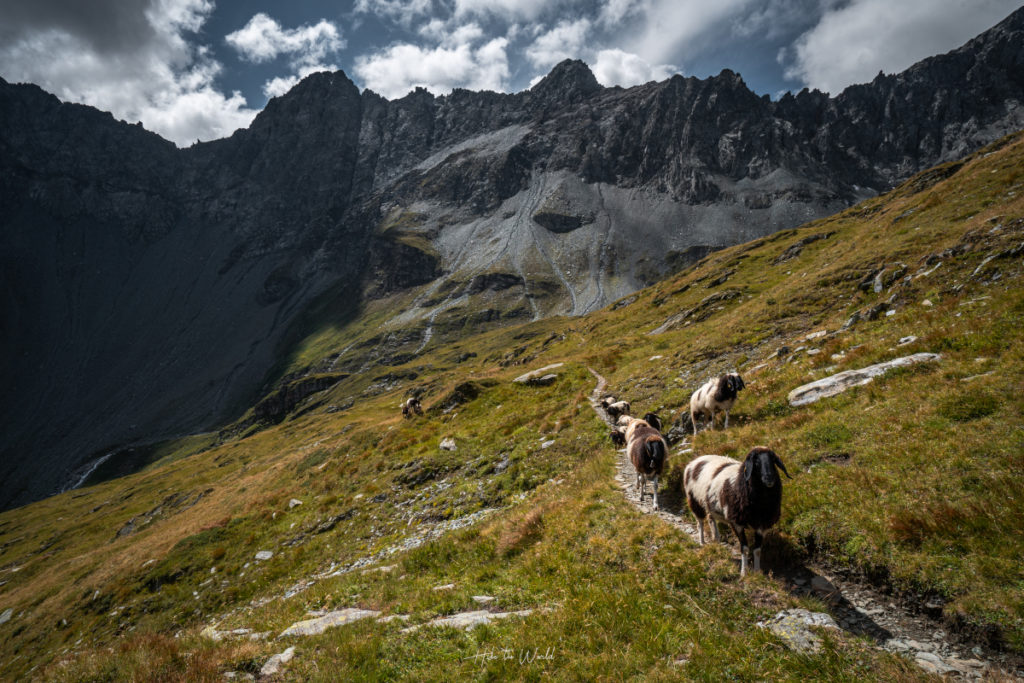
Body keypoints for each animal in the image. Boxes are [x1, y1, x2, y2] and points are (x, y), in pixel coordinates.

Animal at [688, 448, 790, 577]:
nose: (769, 479)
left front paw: (757, 572)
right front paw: (744, 572)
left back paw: (716, 539)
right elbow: (745, 548)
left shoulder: (761, 525)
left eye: (773, 460)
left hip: (710, 505)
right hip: (694, 500)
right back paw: (702, 542)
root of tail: (698, 459)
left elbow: (757, 550)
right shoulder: (736, 523)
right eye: (756, 462)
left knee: (711, 520)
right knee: (700, 522)